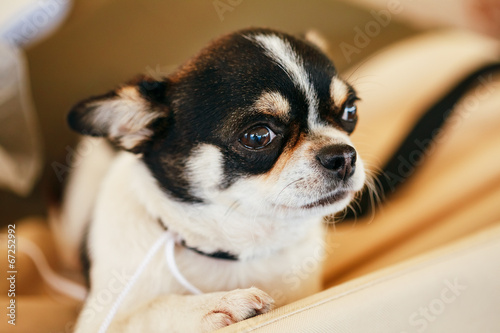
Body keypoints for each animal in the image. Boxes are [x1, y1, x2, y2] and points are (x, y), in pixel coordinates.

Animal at [56, 27, 366, 330]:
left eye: (350, 111)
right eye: (258, 136)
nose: (342, 156)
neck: (240, 249)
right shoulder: (99, 321)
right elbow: (150, 310)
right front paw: (217, 303)